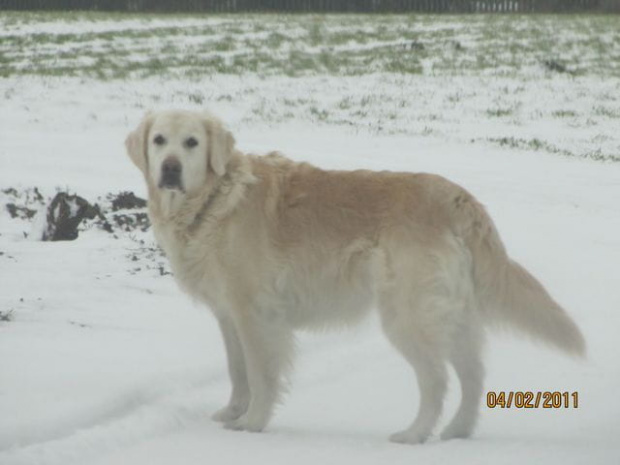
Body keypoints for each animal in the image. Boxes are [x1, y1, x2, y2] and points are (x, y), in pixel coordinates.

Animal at [126, 109, 588, 442]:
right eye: (159, 140)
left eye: (192, 142)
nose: (170, 168)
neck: (215, 200)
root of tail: (456, 197)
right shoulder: (228, 315)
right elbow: (237, 370)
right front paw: (232, 412)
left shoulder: (256, 313)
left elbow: (260, 373)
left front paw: (253, 423)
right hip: (450, 314)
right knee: (473, 376)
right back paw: (457, 432)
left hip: (407, 316)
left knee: (436, 379)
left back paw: (415, 434)